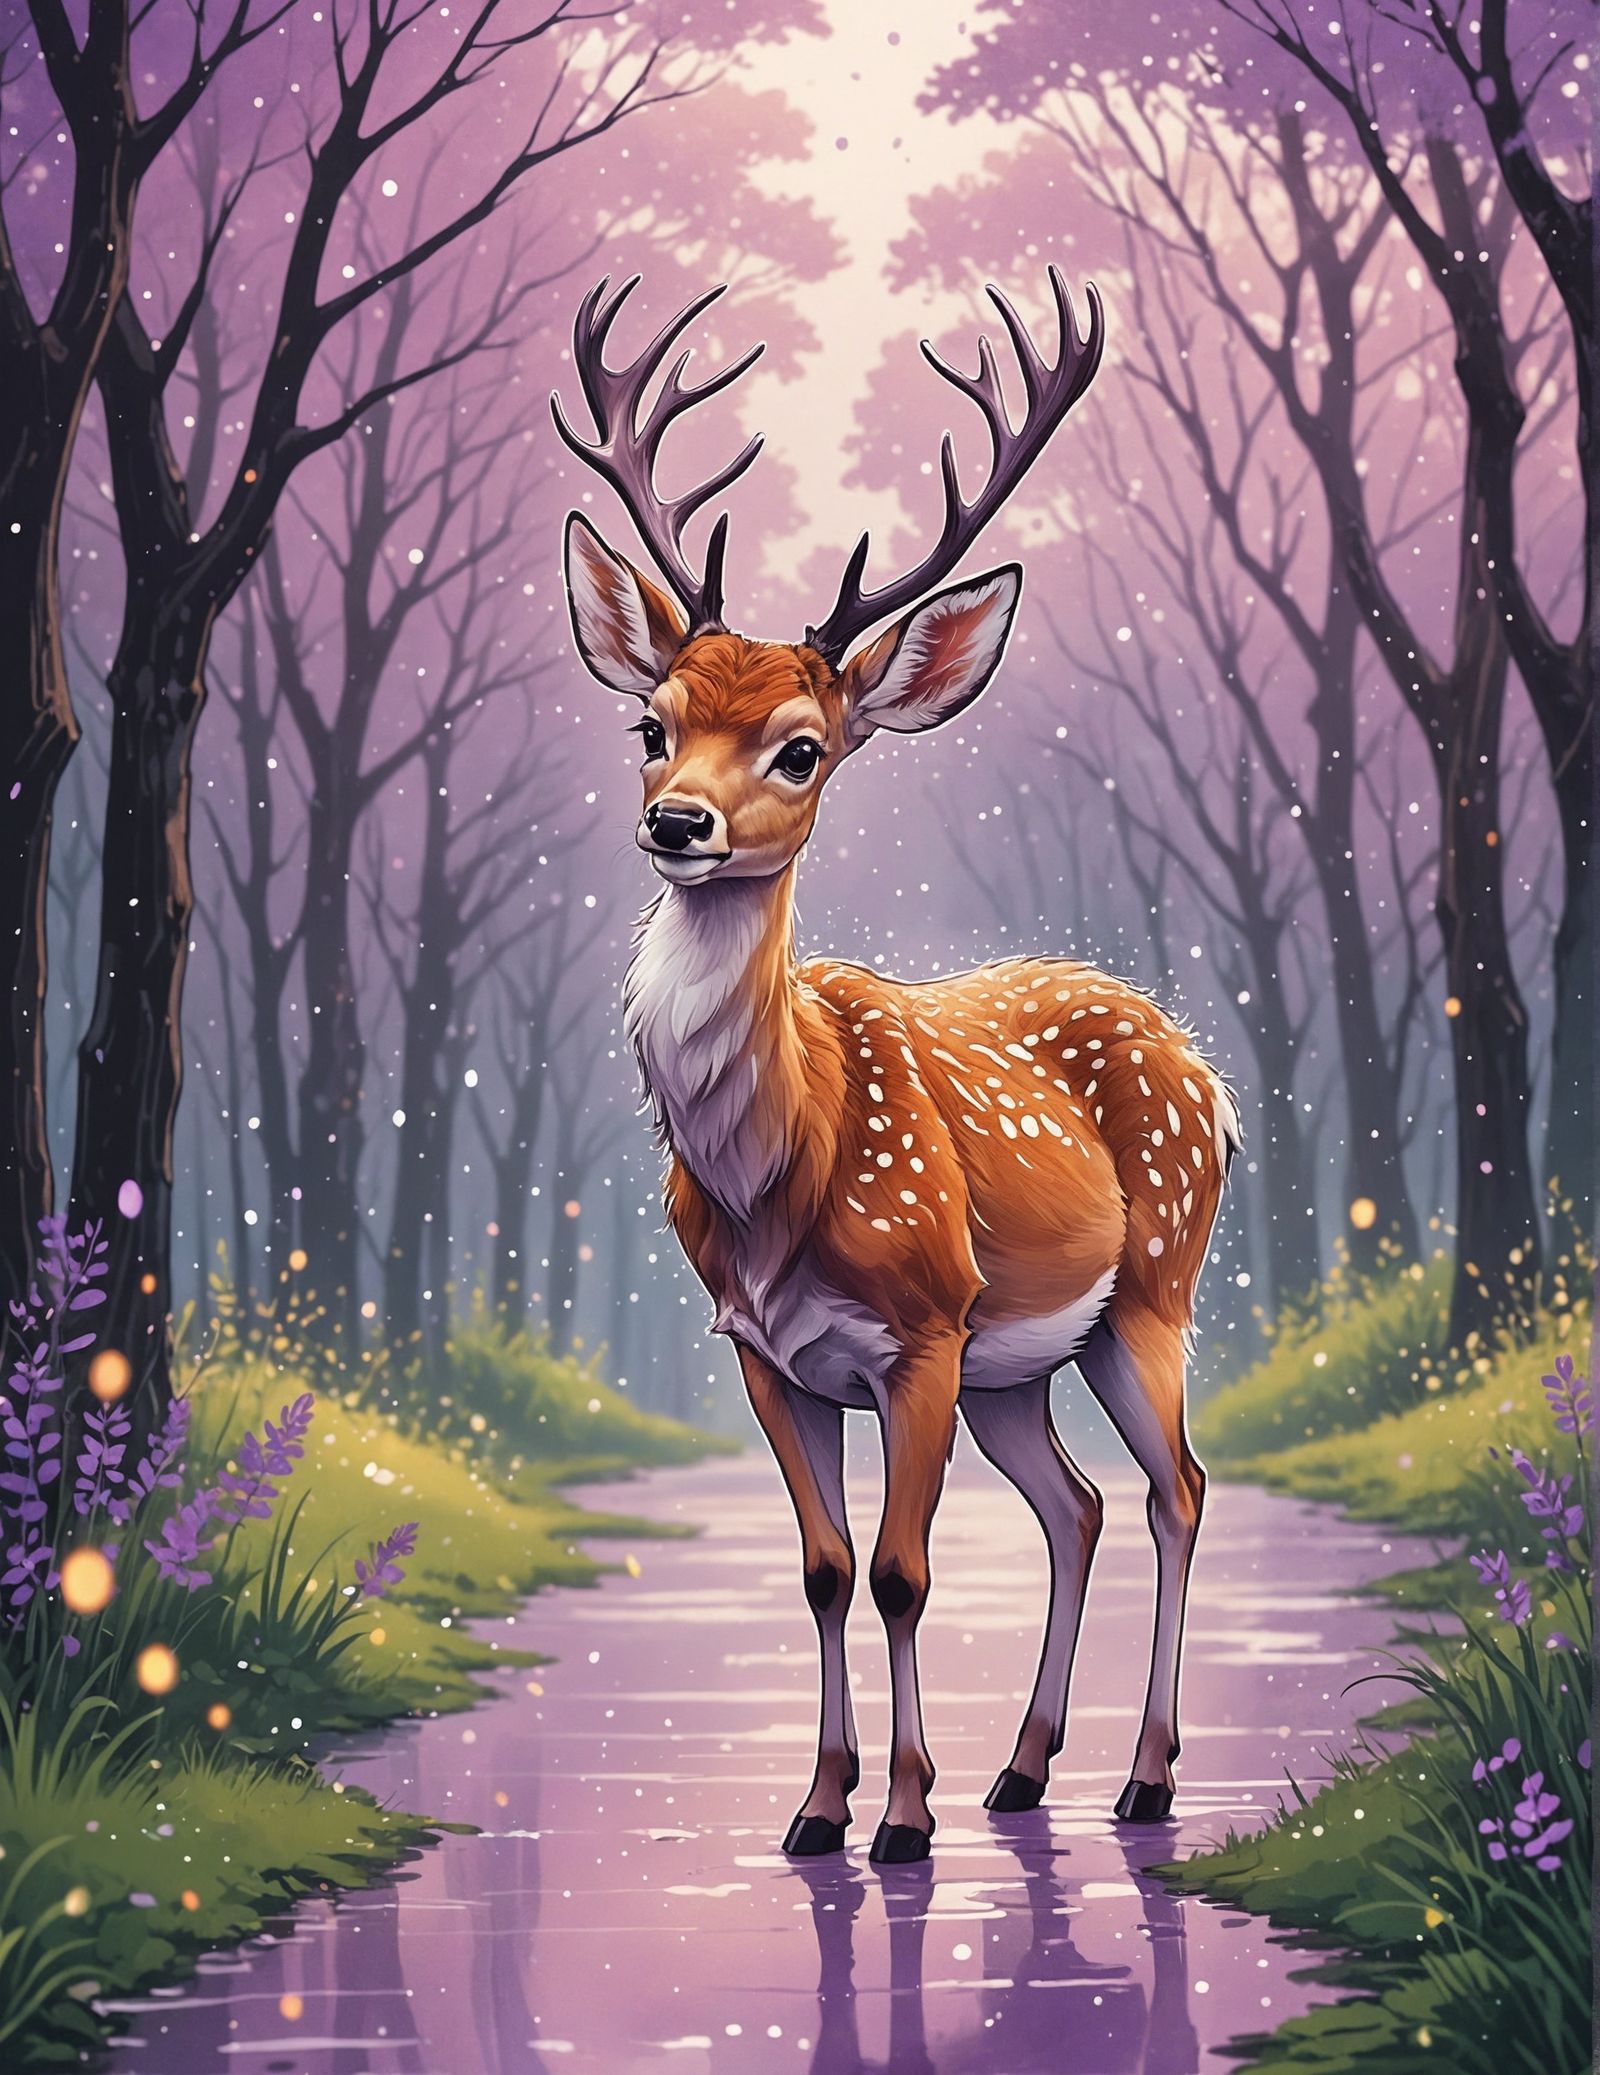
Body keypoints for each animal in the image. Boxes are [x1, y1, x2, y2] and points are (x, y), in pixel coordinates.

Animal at [552, 270, 1239, 1866]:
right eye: (650, 721)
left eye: (801, 748)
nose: (677, 820)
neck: (782, 1180)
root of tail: (1209, 1071)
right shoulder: (762, 1348)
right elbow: (818, 1564)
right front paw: (819, 1804)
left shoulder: (921, 1329)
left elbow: (904, 1566)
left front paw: (904, 1816)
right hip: (1021, 1362)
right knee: (1078, 1503)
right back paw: (1025, 1770)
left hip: (1150, 1289)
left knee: (1173, 1488)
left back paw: (1144, 1777)